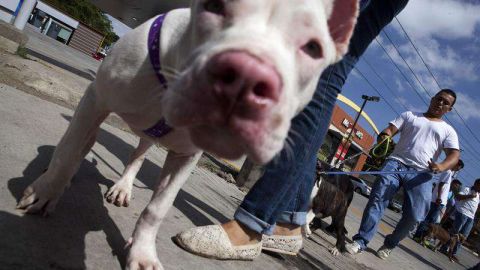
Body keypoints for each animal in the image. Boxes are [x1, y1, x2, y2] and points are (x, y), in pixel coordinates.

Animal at [16, 1, 356, 268]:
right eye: (214, 5)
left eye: (313, 48)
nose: (246, 76)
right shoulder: (96, 99)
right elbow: (68, 152)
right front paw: (44, 193)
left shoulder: (185, 157)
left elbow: (158, 208)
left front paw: (142, 252)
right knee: (77, 144)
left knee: (134, 156)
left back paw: (123, 187)